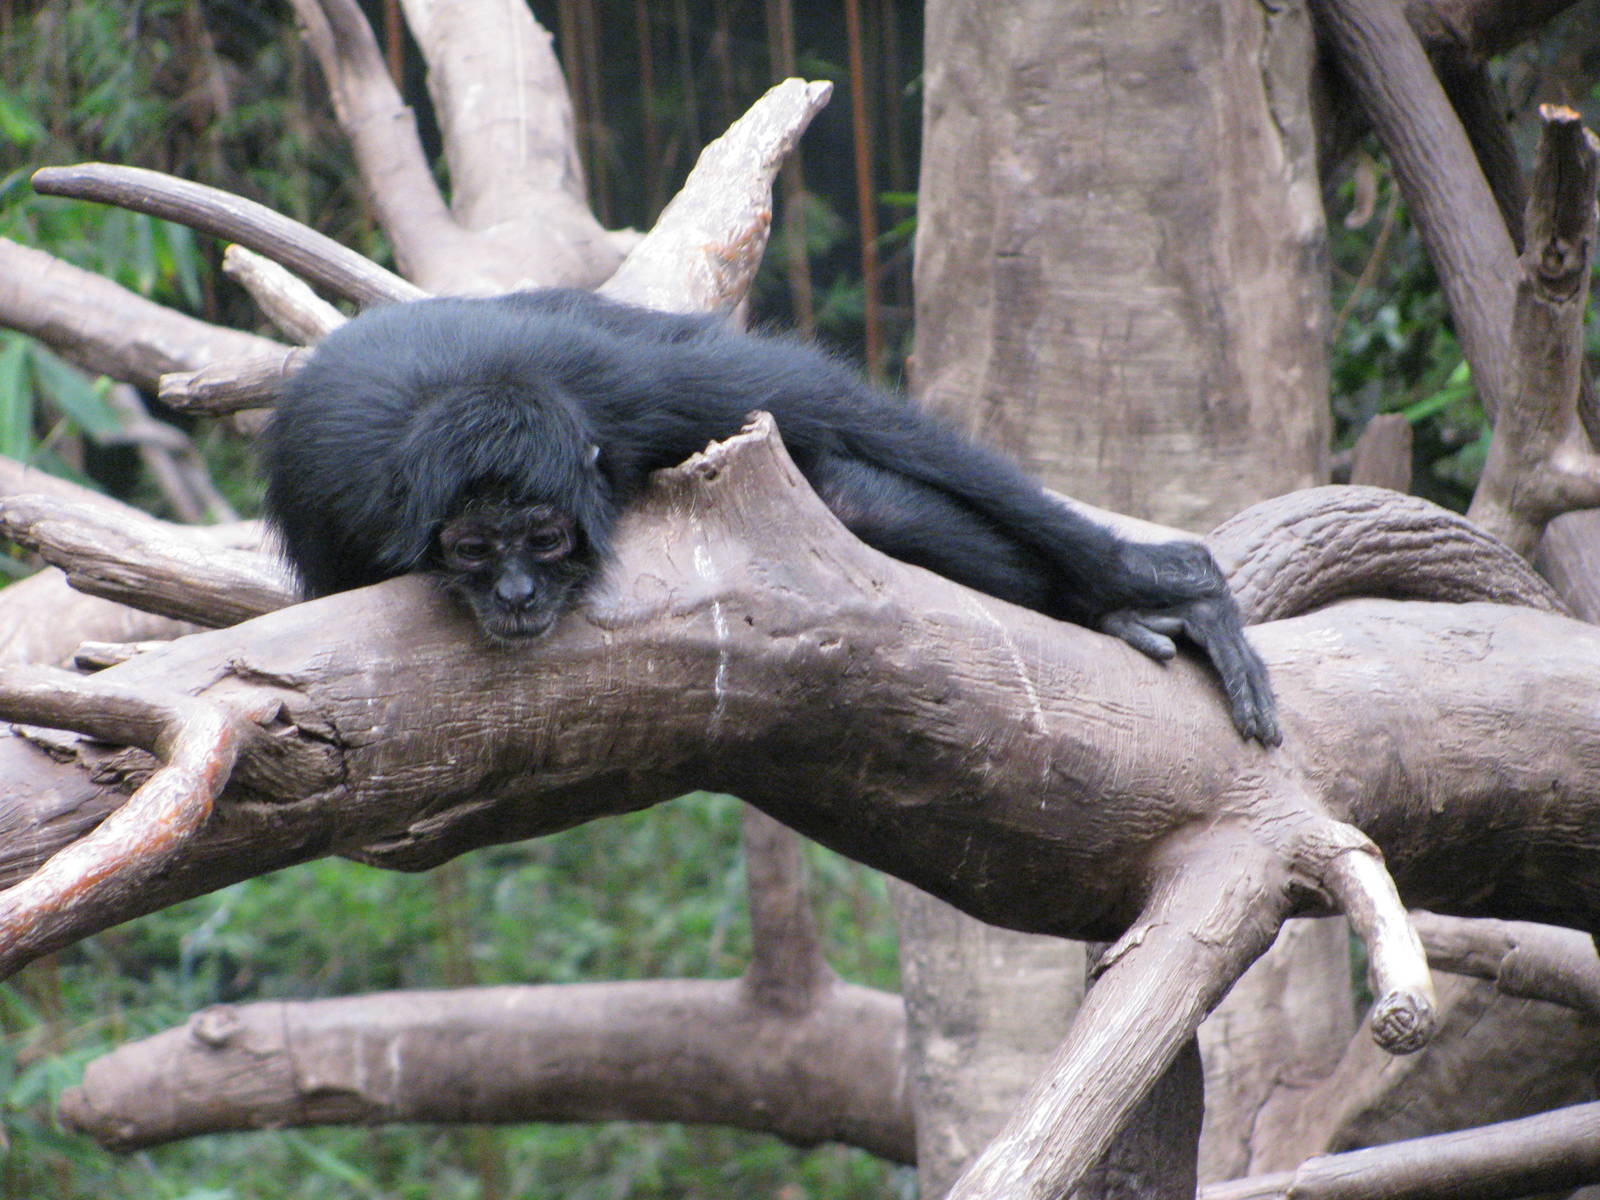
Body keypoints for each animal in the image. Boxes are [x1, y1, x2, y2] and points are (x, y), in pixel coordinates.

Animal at [261, 289, 1279, 745]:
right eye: (474, 550)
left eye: (543, 539)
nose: (514, 591)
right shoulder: (331, 495)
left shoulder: (634, 398)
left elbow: (819, 395)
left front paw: (1148, 583)